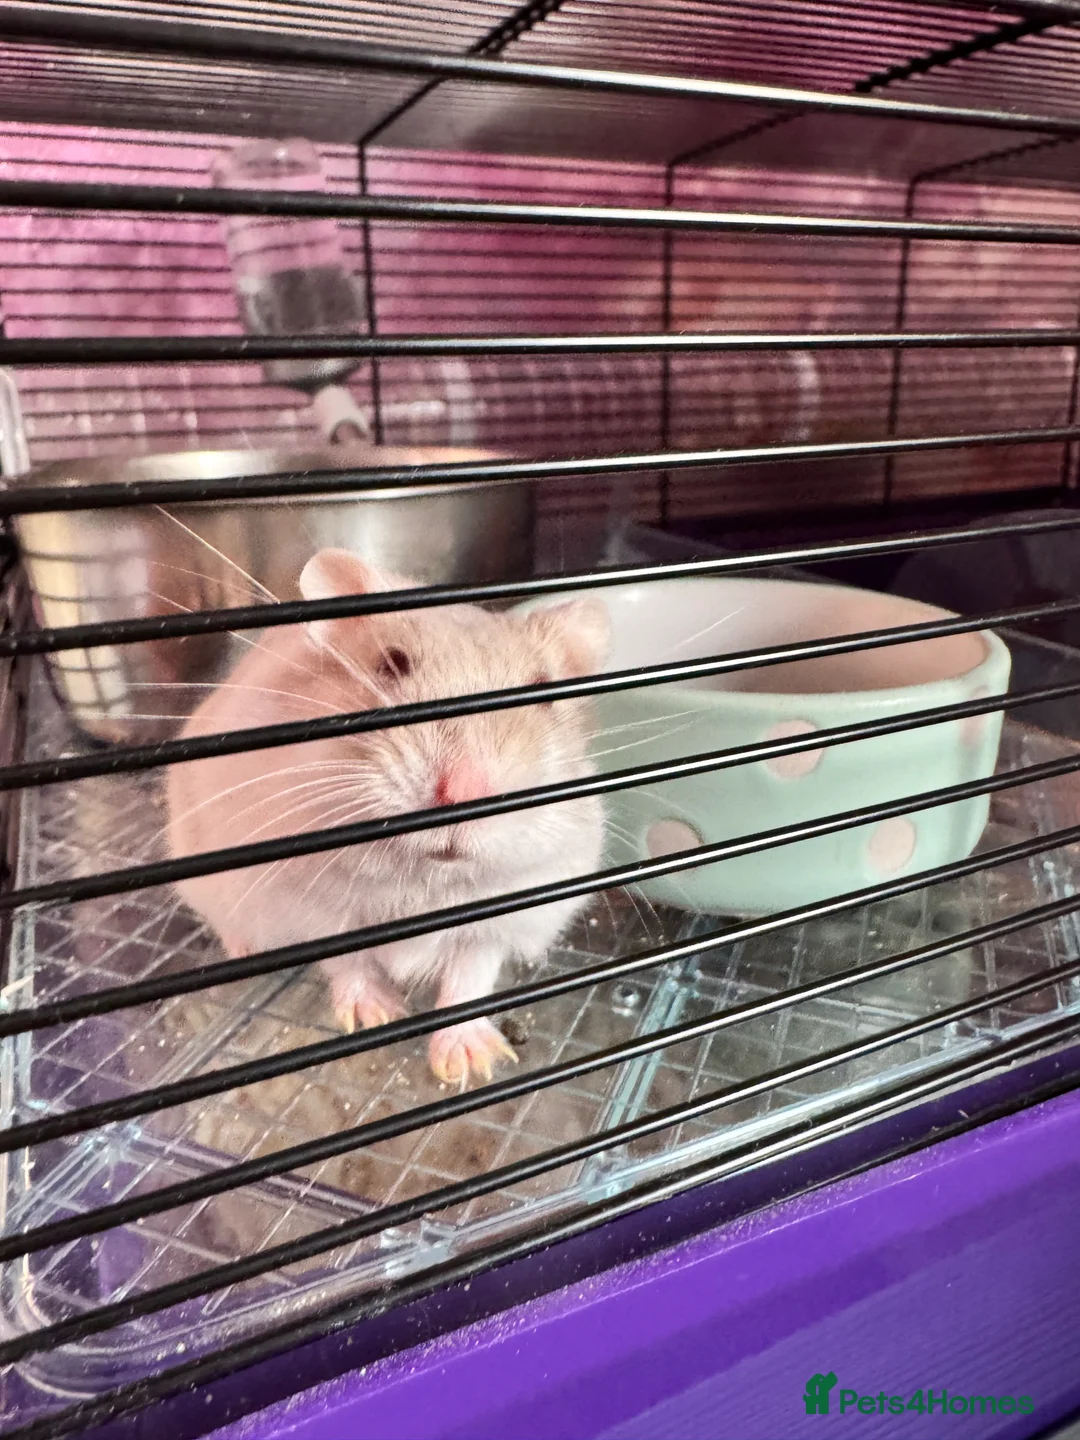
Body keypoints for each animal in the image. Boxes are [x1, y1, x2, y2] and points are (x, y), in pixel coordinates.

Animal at [166, 547, 610, 1086]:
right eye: (392, 664)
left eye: (543, 693)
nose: (463, 793)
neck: (423, 878)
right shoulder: (310, 911)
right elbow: (349, 964)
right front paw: (377, 1016)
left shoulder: (503, 917)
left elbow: (469, 979)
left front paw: (471, 1063)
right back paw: (248, 951)